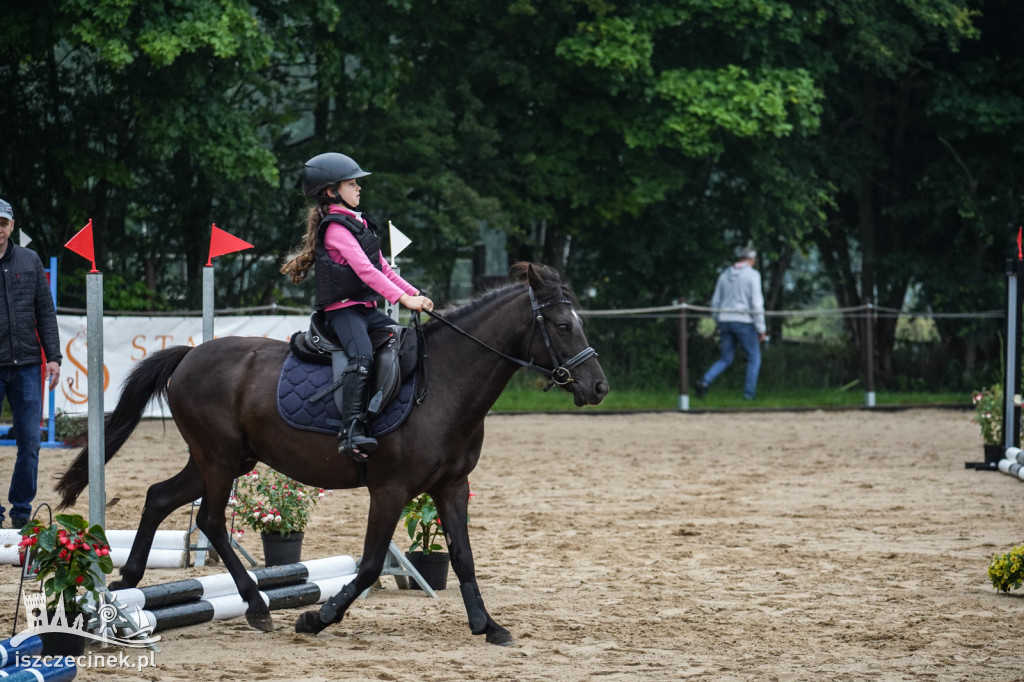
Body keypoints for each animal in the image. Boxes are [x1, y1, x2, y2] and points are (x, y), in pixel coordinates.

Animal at [56, 261, 606, 643]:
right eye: (561, 326)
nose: (598, 387)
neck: (444, 382)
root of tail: (191, 354)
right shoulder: (390, 490)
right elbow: (369, 565)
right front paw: (316, 617)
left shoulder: (451, 487)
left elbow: (465, 558)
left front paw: (487, 626)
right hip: (219, 458)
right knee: (210, 520)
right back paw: (256, 607)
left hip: (225, 459)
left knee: (158, 496)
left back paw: (125, 583)